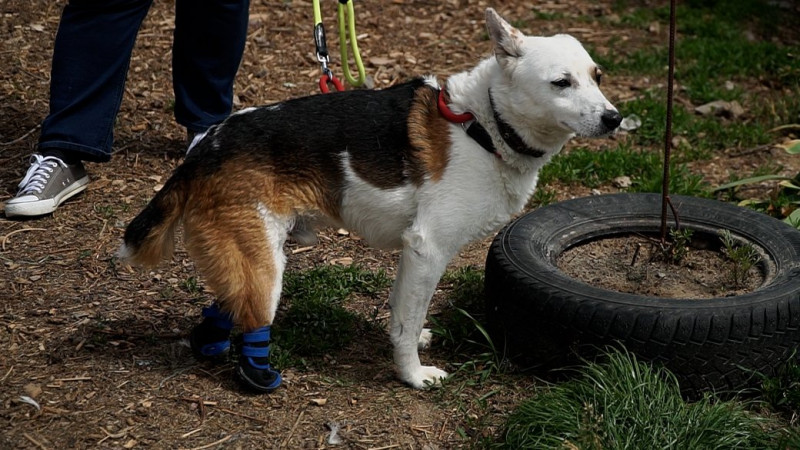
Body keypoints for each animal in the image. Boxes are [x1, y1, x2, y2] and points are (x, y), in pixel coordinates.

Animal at [119, 7, 620, 394]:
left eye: (597, 77)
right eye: (561, 83)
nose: (615, 119)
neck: (483, 123)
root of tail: (205, 146)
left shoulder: (413, 255)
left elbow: (402, 315)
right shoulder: (428, 248)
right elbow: (407, 322)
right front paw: (412, 376)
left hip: (244, 257)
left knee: (225, 305)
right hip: (265, 264)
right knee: (250, 318)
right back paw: (258, 376)